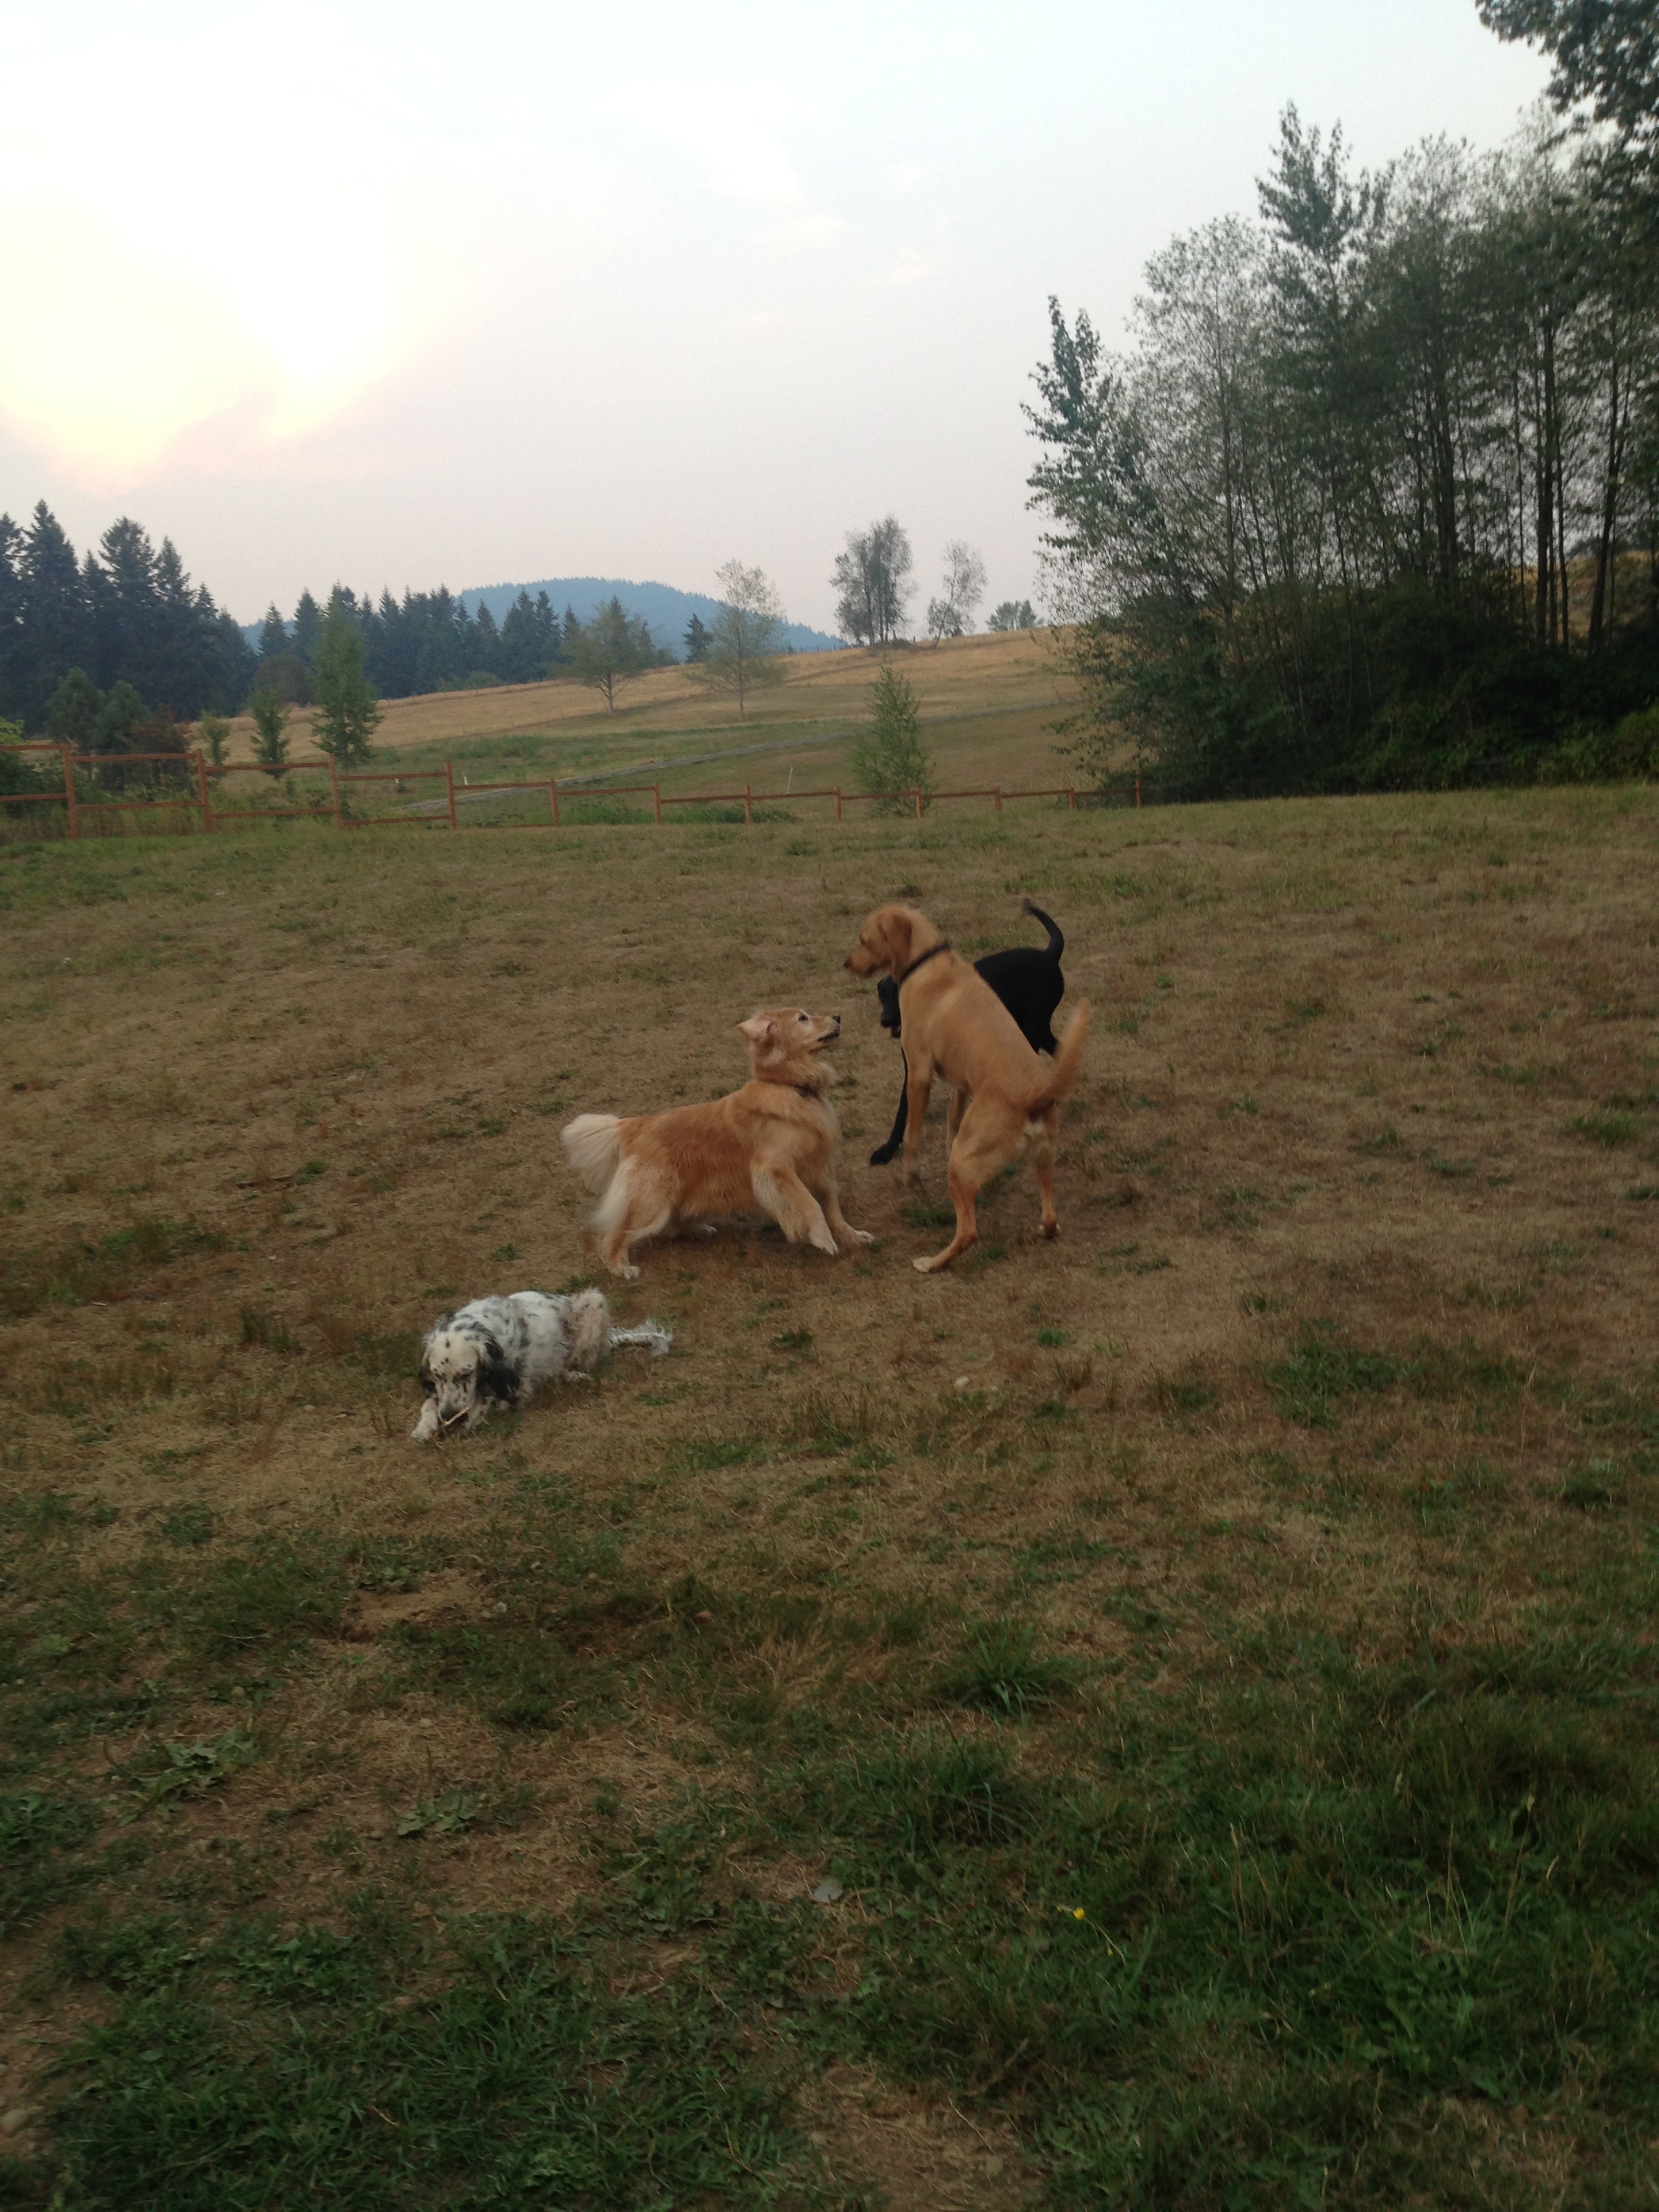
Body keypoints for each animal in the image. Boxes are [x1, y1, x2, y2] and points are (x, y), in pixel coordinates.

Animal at [412, 1288, 670, 1441]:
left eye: (466, 1374)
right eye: (436, 1375)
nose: (449, 1415)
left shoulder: (516, 1388)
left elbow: (487, 1399)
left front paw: (469, 1419)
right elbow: (430, 1402)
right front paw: (424, 1427)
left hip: (593, 1301)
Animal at [561, 1008, 872, 1279]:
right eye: (803, 1018)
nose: (838, 1017)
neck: (791, 1088)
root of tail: (639, 1124)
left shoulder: (820, 1166)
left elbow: (831, 1206)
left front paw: (852, 1236)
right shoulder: (775, 1168)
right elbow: (811, 1204)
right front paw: (822, 1238)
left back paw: (700, 1230)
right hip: (653, 1199)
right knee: (617, 1234)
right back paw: (621, 1267)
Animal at [869, 898, 1065, 1165]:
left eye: (899, 994)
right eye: (882, 994)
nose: (886, 1020)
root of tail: (1049, 955)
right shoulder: (915, 1069)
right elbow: (903, 1112)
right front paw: (887, 1149)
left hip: (1032, 1030)